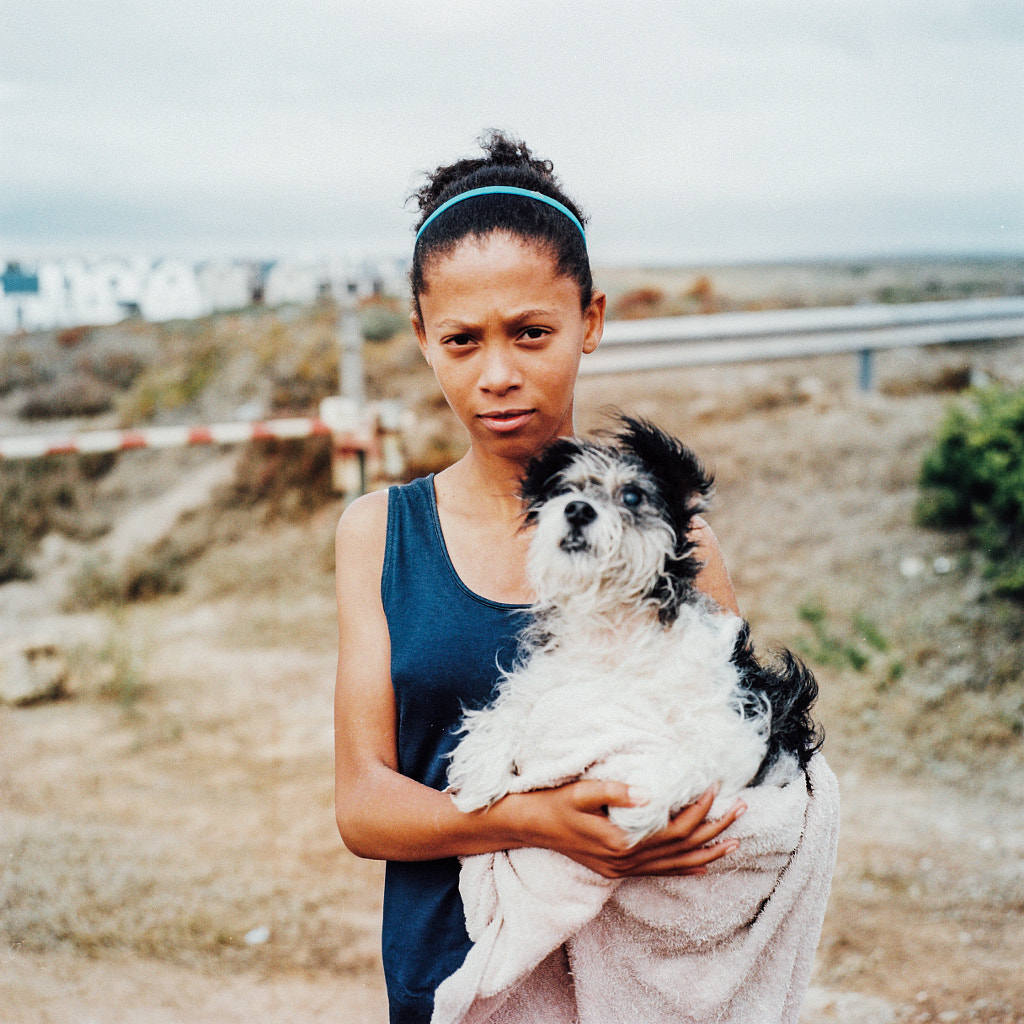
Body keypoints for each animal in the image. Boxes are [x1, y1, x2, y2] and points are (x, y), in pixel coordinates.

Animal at [448, 411, 823, 843]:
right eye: (568, 490)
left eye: (631, 497)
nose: (577, 509)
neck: (616, 624)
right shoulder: (548, 677)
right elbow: (508, 710)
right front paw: (480, 774)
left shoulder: (736, 725)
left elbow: (694, 758)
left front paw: (642, 803)